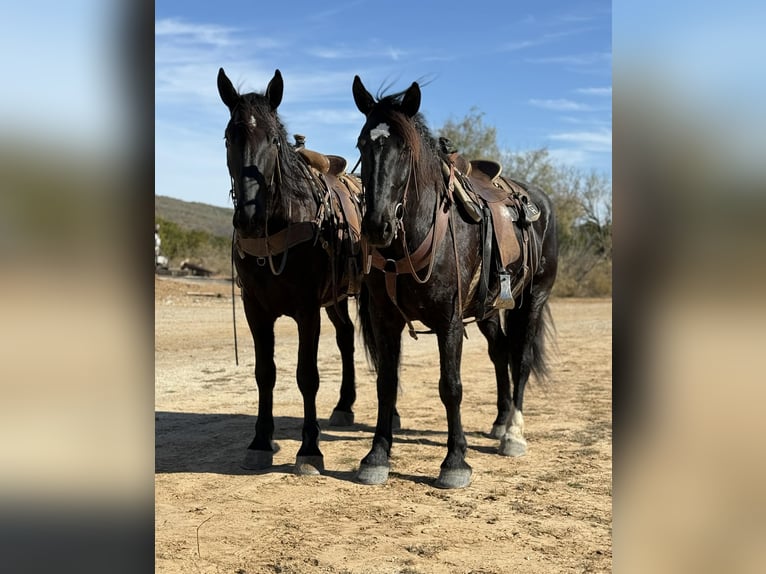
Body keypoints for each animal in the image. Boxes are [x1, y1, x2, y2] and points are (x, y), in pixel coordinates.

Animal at [217, 68, 364, 475]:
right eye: (230, 136)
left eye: (273, 140)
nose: (248, 217)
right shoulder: (255, 309)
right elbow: (265, 373)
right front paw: (260, 441)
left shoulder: (306, 310)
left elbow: (307, 375)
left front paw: (310, 449)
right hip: (336, 298)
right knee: (346, 336)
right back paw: (344, 405)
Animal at [351, 76, 558, 488]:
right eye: (363, 144)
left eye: (404, 149)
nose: (377, 226)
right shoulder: (385, 320)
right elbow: (386, 384)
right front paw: (376, 456)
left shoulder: (448, 321)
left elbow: (451, 386)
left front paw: (455, 461)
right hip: (489, 309)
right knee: (500, 352)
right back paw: (500, 421)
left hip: (534, 298)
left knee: (522, 358)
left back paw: (513, 433)